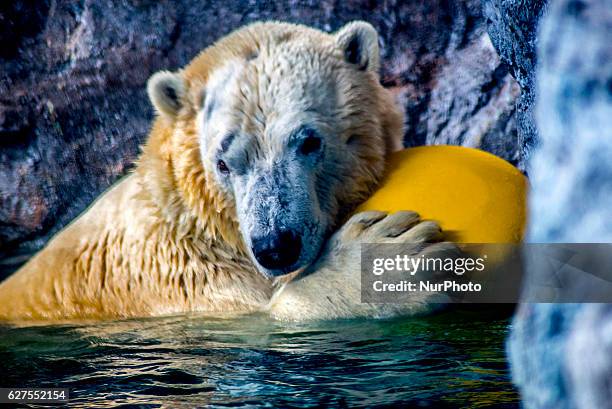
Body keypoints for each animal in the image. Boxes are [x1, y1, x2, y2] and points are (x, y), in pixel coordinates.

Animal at [0, 21, 450, 322]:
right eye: (223, 162)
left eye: (309, 142)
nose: (275, 246)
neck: (200, 223)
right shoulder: (192, 286)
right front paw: (382, 259)